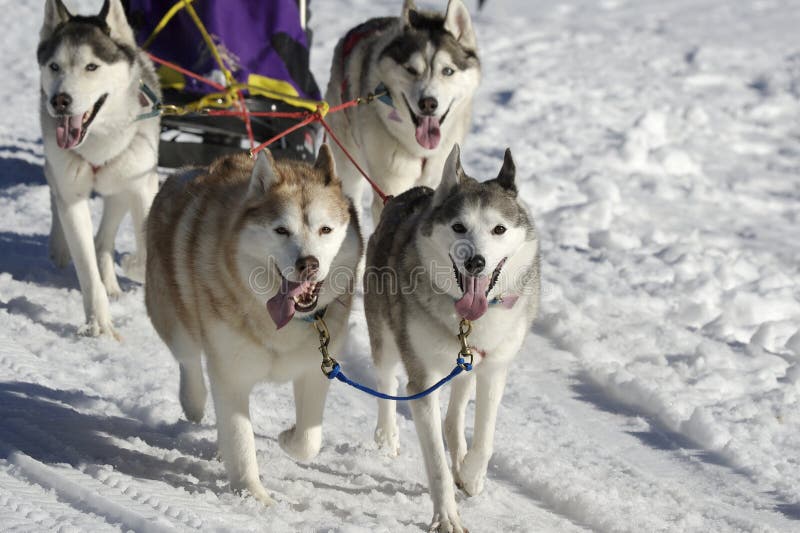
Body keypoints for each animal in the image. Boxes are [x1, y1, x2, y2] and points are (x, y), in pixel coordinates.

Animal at [38, 0, 160, 334]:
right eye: (55, 66)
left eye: (91, 67)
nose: (60, 100)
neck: (97, 142)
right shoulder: (72, 197)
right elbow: (86, 266)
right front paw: (99, 324)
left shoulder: (142, 187)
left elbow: (145, 250)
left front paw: (132, 266)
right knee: (57, 200)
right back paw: (59, 246)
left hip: (120, 187)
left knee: (104, 238)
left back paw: (115, 284)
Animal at [145, 147, 364, 502]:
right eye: (281, 230)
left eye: (325, 230)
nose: (308, 263)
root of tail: (181, 173)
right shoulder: (230, 373)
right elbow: (240, 438)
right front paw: (253, 495)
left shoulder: (315, 368)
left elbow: (308, 440)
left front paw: (287, 437)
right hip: (173, 316)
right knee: (188, 358)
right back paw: (194, 401)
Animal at [324, 0, 482, 221]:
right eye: (411, 70)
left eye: (448, 71)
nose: (428, 103)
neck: (420, 149)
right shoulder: (392, 185)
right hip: (348, 159)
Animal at [366, 143, 540, 528]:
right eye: (459, 227)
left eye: (499, 229)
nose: (475, 261)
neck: (467, 319)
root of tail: (410, 195)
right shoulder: (423, 382)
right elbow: (436, 463)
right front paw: (446, 517)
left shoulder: (495, 369)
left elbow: (484, 439)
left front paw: (472, 474)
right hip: (384, 334)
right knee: (386, 381)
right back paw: (386, 437)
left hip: (467, 363)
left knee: (456, 409)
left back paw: (461, 458)